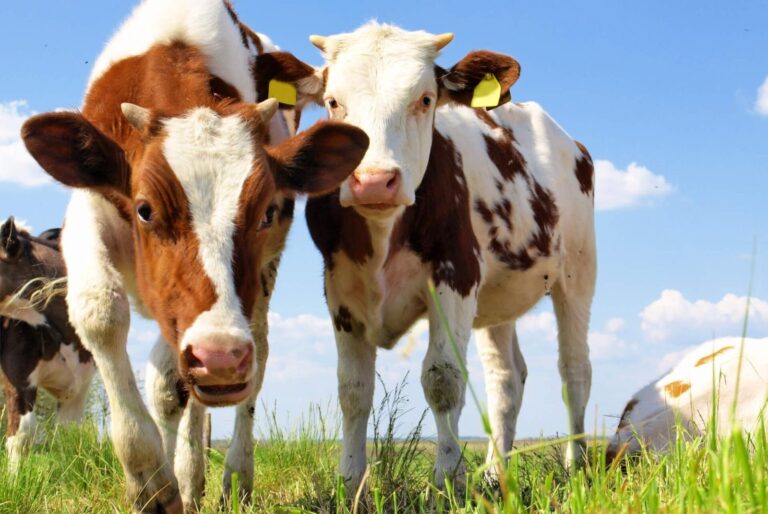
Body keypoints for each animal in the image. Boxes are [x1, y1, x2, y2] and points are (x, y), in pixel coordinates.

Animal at [20, 1, 368, 511]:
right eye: (145, 208)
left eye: (266, 212)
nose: (220, 358)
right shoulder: (89, 207)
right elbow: (101, 314)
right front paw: (149, 476)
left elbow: (183, 378)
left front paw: (172, 478)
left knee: (246, 354)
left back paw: (223, 476)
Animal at [260, 22, 597, 492]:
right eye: (332, 102)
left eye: (424, 99)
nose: (373, 181)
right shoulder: (339, 290)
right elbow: (353, 388)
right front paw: (351, 482)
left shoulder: (456, 275)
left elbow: (443, 379)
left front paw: (448, 479)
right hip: (498, 298)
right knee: (506, 380)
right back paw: (494, 474)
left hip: (578, 272)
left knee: (574, 370)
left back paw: (575, 466)